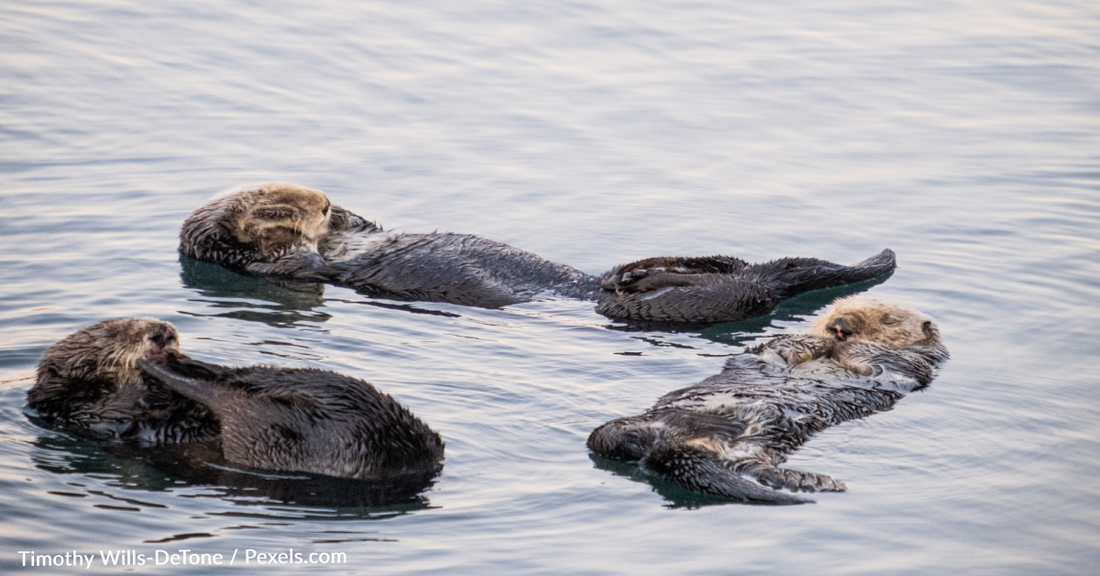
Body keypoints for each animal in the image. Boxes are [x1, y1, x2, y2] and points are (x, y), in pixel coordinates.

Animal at [586, 295, 950, 504]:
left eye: (888, 320)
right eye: (837, 309)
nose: (840, 325)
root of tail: (662, 447)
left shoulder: (908, 367)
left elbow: (879, 358)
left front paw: (849, 344)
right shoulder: (774, 348)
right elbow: (781, 346)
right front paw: (816, 341)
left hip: (758, 442)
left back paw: (816, 482)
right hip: (635, 428)